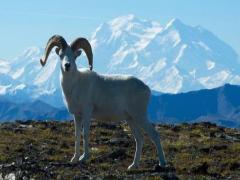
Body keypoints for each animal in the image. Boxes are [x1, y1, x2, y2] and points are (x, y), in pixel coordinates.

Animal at [39, 34, 167, 169]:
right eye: (61, 55)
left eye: (74, 56)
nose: (67, 65)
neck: (75, 85)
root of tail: (146, 88)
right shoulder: (77, 116)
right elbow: (77, 135)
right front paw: (74, 159)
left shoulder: (87, 113)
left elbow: (85, 134)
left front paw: (84, 158)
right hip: (131, 119)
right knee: (139, 139)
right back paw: (133, 165)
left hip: (140, 116)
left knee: (154, 135)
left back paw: (162, 163)